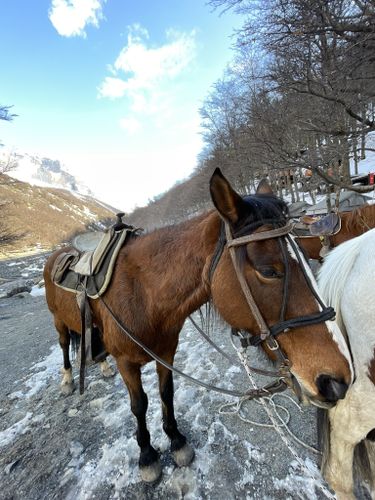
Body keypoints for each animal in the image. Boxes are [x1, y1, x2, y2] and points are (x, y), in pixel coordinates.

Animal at [43, 170, 352, 482]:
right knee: (64, 345)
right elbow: (139, 405)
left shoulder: (166, 353)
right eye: (268, 271)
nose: (337, 382)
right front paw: (147, 456)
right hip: (58, 321)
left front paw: (176, 440)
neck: (142, 296)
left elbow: (166, 394)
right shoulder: (126, 362)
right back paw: (68, 380)